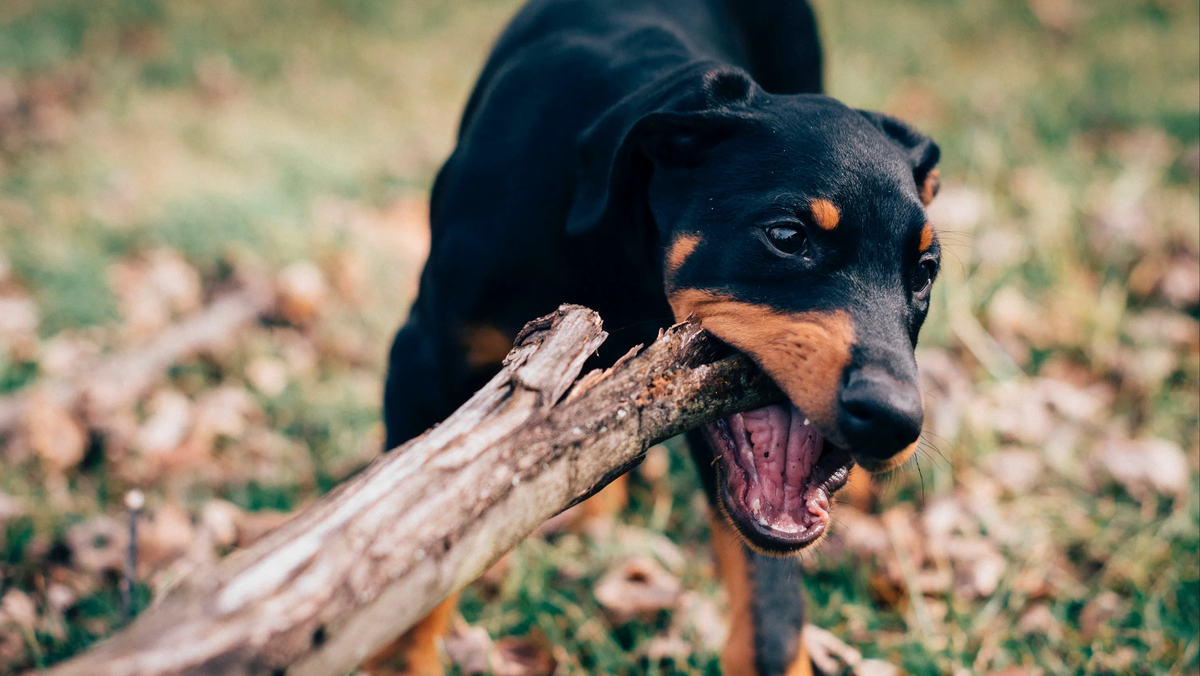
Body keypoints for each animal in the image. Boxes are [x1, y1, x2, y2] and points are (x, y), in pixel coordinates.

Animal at [379, 1, 940, 676]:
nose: (893, 420)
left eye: (925, 270)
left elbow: (771, 619)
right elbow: (415, 568)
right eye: (786, 236)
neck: (616, 250)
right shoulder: (421, 361)